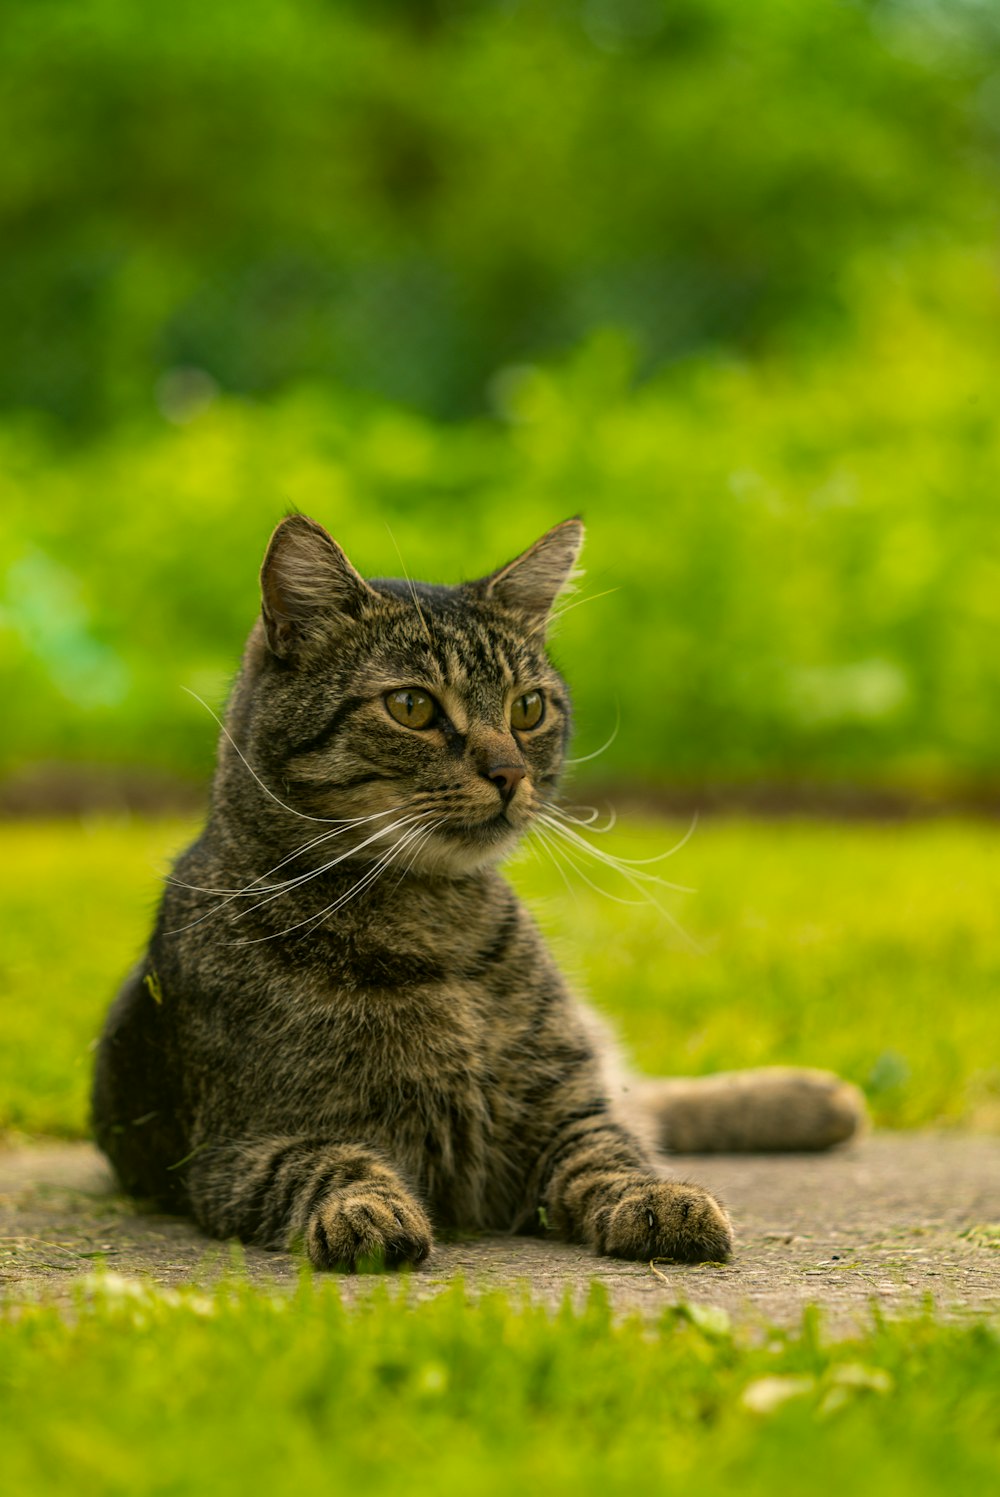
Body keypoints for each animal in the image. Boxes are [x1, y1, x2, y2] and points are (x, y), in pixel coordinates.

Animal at [89, 514, 862, 1263]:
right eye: (410, 705)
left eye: (528, 709)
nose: (509, 772)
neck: (433, 921)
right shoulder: (239, 1149)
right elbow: (330, 1162)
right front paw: (365, 1209)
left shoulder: (561, 1111)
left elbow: (612, 1153)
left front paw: (661, 1196)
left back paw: (817, 1097)